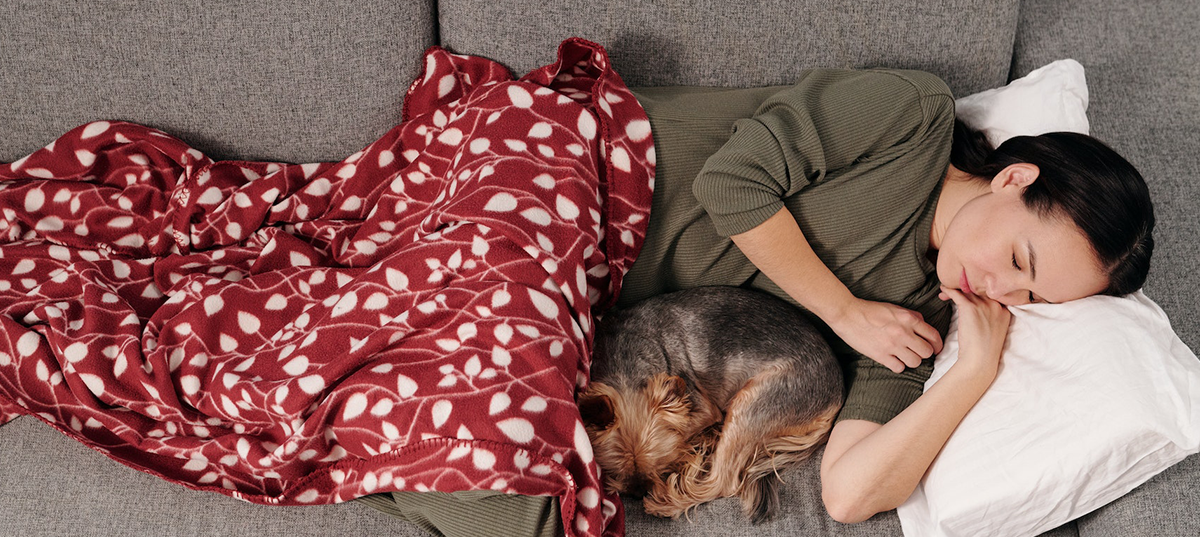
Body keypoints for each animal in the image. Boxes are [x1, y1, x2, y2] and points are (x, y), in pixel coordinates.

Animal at [578, 287, 844, 522]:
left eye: (659, 465)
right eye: (615, 470)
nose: (638, 493)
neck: (628, 367)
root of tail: (837, 395)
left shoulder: (704, 407)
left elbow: (683, 432)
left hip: (754, 404)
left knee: (723, 482)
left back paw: (668, 502)